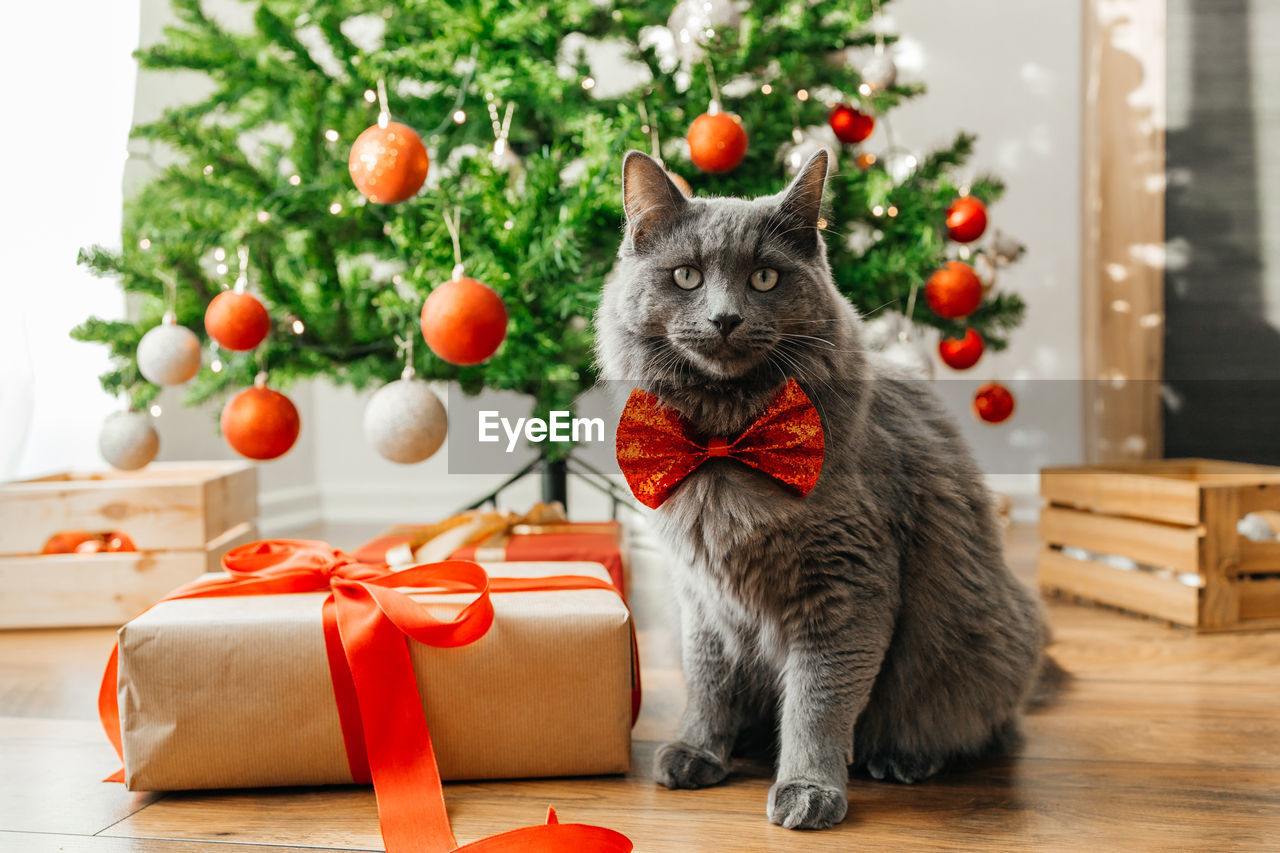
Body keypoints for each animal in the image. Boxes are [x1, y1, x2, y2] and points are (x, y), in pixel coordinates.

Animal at [593, 149, 1064, 824]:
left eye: (765, 278)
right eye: (686, 276)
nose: (725, 318)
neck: (725, 440)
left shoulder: (846, 587)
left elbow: (818, 701)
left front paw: (809, 790)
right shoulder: (702, 592)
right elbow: (708, 681)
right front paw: (698, 750)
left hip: (982, 644)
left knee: (978, 727)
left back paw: (904, 758)